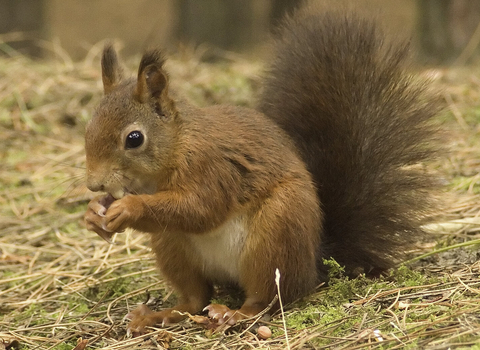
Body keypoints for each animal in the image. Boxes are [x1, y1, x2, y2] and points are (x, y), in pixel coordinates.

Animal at [83, 6, 442, 332]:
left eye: (134, 139)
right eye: (88, 127)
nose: (93, 184)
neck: (173, 152)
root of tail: (314, 261)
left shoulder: (213, 168)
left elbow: (200, 208)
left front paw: (129, 208)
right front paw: (93, 213)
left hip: (276, 235)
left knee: (267, 297)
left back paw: (235, 314)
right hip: (172, 245)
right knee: (194, 297)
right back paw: (161, 315)